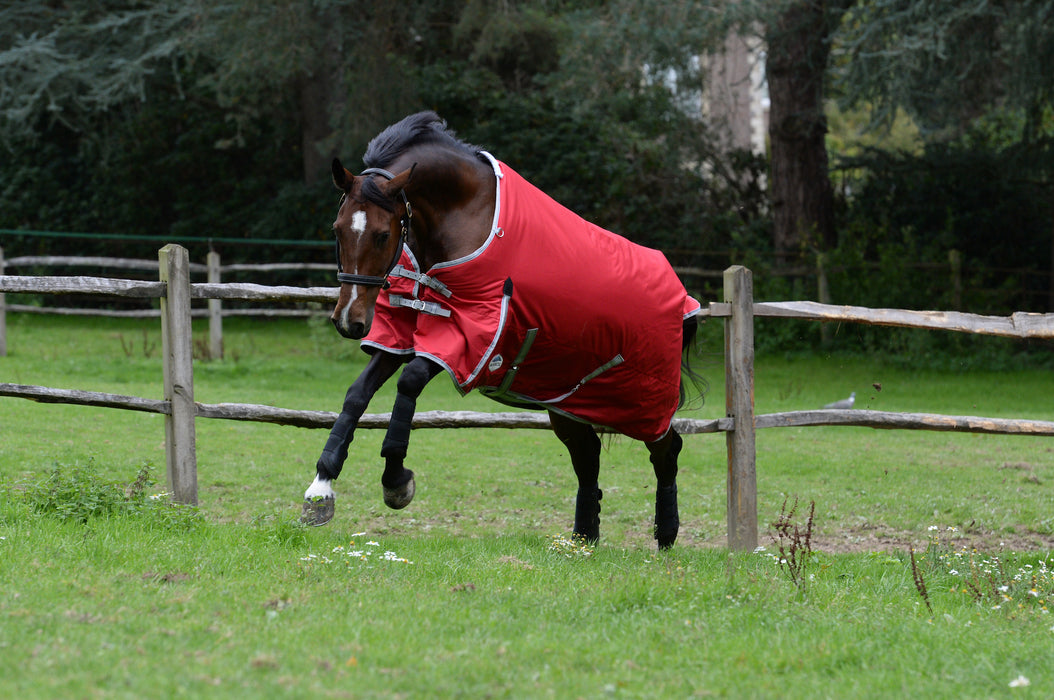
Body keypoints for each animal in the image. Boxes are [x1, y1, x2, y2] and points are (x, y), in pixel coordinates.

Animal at [305, 110, 699, 548]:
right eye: (337, 228)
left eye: (382, 234)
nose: (349, 320)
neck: (464, 216)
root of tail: (683, 300)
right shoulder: (403, 333)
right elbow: (357, 394)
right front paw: (321, 487)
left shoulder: (471, 339)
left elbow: (408, 383)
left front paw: (396, 481)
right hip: (568, 404)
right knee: (588, 455)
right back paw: (584, 538)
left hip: (643, 406)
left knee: (667, 449)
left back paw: (666, 534)